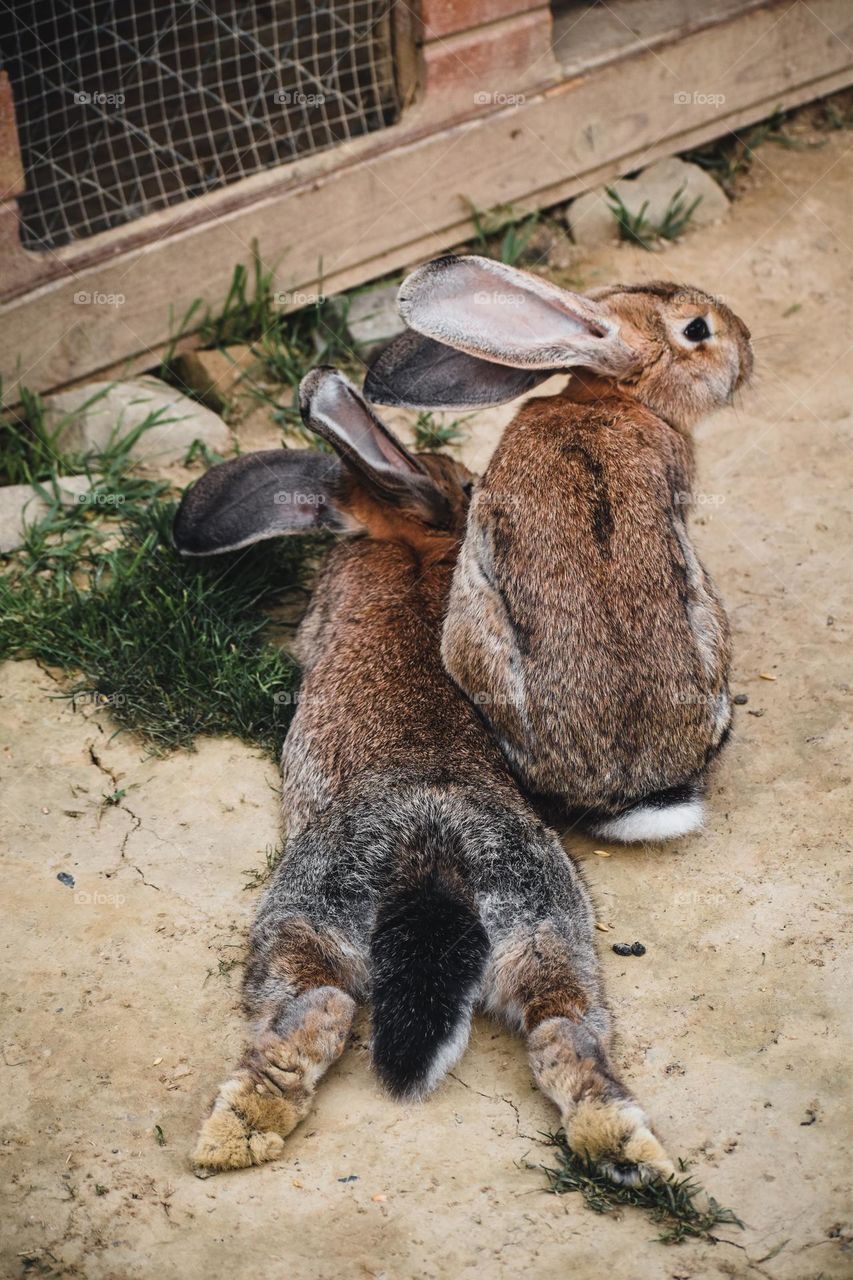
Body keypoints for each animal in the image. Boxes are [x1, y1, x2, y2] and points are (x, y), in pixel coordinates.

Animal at [172, 367, 674, 1185]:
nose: (476, 487)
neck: (409, 540)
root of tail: (432, 847)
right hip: (545, 926)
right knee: (563, 1030)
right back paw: (627, 1147)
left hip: (308, 912)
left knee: (317, 1006)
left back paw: (234, 1134)